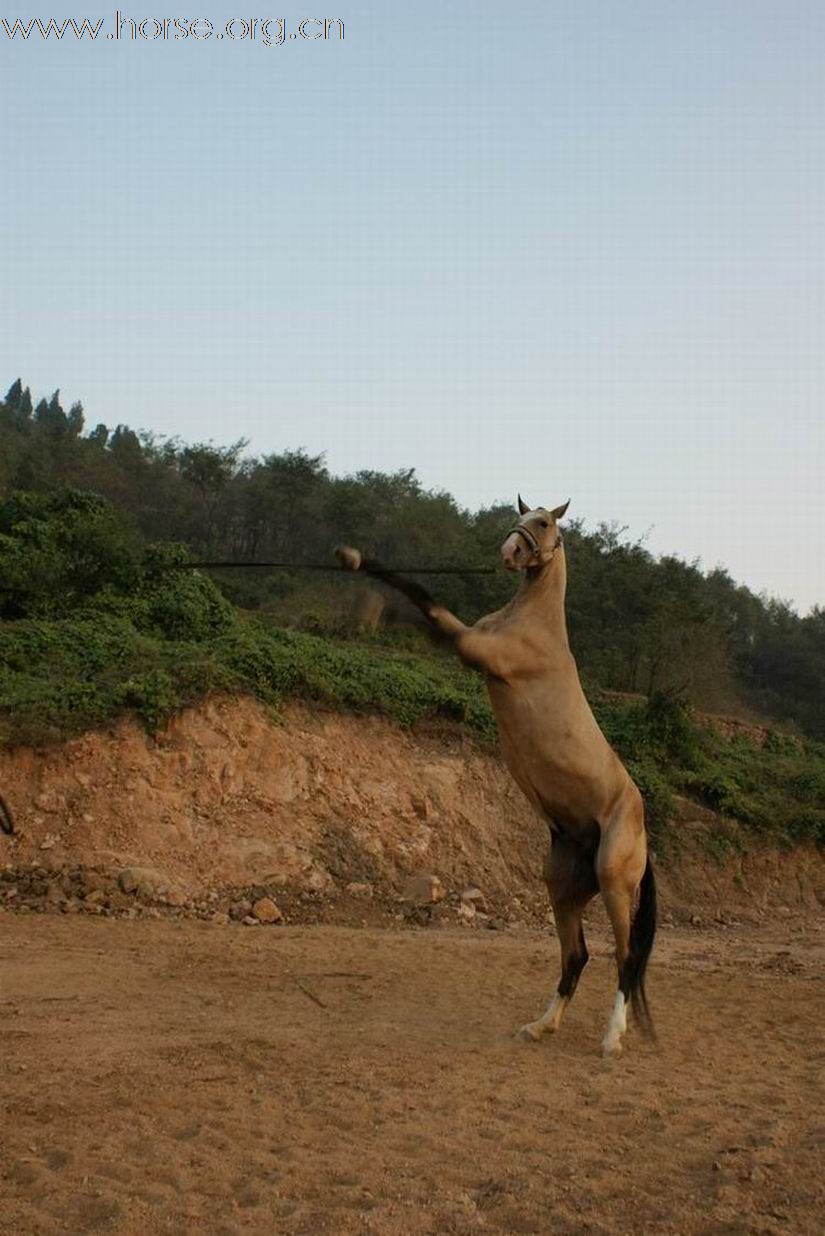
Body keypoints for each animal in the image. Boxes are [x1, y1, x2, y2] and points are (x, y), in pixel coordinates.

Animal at [336, 496, 658, 1058]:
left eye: (544, 522)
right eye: (521, 514)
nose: (509, 551)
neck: (531, 623)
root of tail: (643, 829)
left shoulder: (474, 650)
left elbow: (426, 603)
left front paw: (359, 572)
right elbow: (424, 611)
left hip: (615, 883)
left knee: (625, 957)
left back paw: (610, 1040)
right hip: (564, 884)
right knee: (577, 955)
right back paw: (541, 1026)